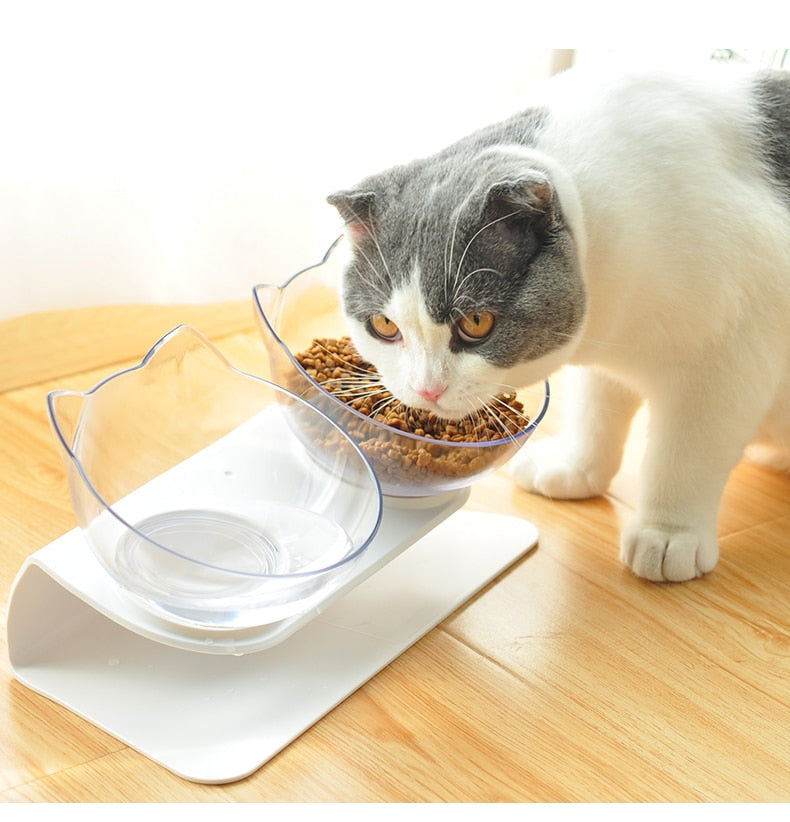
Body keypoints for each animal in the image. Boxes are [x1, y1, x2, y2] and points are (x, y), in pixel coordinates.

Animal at [328, 61, 790, 584]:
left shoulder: (729, 355)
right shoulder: (610, 354)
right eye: (385, 326)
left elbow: (685, 454)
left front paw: (669, 535)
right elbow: (597, 412)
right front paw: (574, 469)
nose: (427, 389)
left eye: (477, 322)